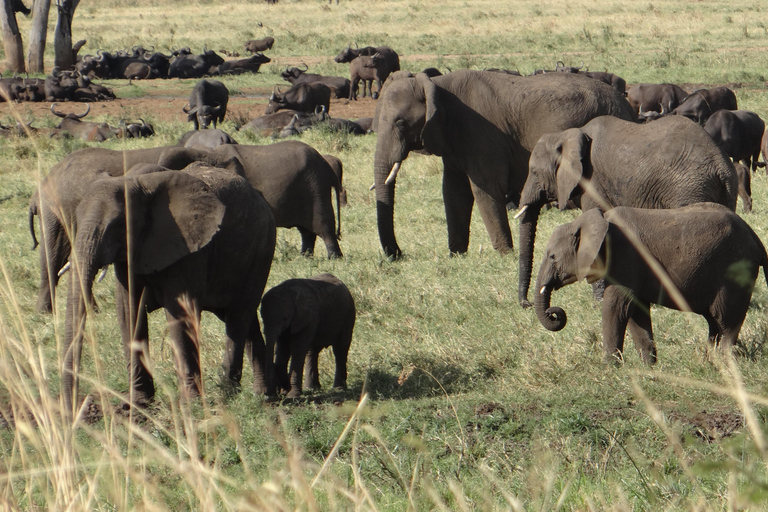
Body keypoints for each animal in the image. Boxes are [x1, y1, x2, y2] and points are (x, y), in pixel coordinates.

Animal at [60, 162, 276, 414]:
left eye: (118, 224)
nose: (76, 410)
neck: (135, 182)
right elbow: (128, 312)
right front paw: (137, 405)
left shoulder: (187, 246)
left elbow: (180, 314)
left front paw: (191, 406)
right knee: (245, 319)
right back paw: (264, 394)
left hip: (261, 250)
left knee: (238, 317)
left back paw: (228, 395)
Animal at [372, 70, 636, 258]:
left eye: (401, 123)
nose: (398, 254)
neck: (436, 84)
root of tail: (627, 107)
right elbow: (453, 192)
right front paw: (456, 255)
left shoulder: (481, 133)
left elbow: (484, 190)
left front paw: (505, 254)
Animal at [516, 115, 736, 308]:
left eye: (534, 172)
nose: (526, 304)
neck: (569, 135)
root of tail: (720, 164)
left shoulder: (593, 183)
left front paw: (599, 302)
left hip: (689, 189)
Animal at [536, 204, 768, 364]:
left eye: (552, 257)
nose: (555, 313)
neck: (599, 220)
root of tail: (756, 239)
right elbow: (635, 311)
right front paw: (649, 366)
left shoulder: (627, 258)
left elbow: (616, 306)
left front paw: (608, 368)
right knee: (715, 322)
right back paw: (710, 362)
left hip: (735, 269)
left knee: (726, 320)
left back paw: (725, 363)